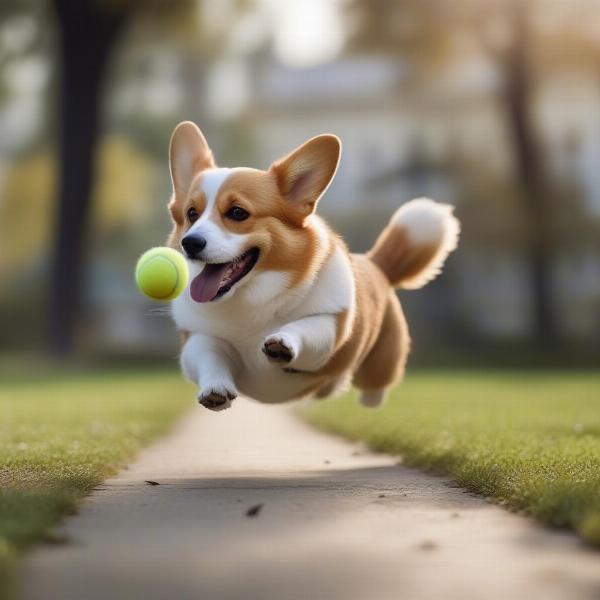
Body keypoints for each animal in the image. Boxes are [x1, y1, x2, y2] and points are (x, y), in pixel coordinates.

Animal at [166, 122, 462, 412]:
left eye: (238, 213)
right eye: (192, 214)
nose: (190, 242)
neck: (251, 304)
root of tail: (376, 263)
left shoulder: (329, 328)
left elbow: (306, 328)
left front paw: (283, 342)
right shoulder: (199, 338)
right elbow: (209, 355)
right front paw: (215, 389)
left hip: (381, 363)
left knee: (376, 385)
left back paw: (371, 402)